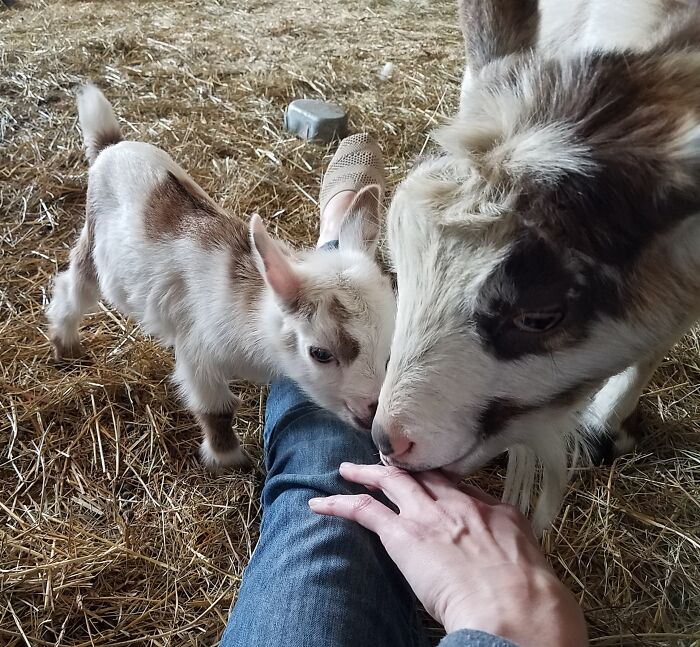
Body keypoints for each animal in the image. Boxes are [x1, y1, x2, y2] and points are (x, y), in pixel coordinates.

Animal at [47, 84, 395, 471]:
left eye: (390, 345)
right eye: (320, 353)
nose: (372, 412)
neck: (251, 313)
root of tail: (111, 145)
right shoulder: (198, 352)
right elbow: (217, 409)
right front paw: (230, 459)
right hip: (93, 239)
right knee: (74, 288)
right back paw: (66, 345)